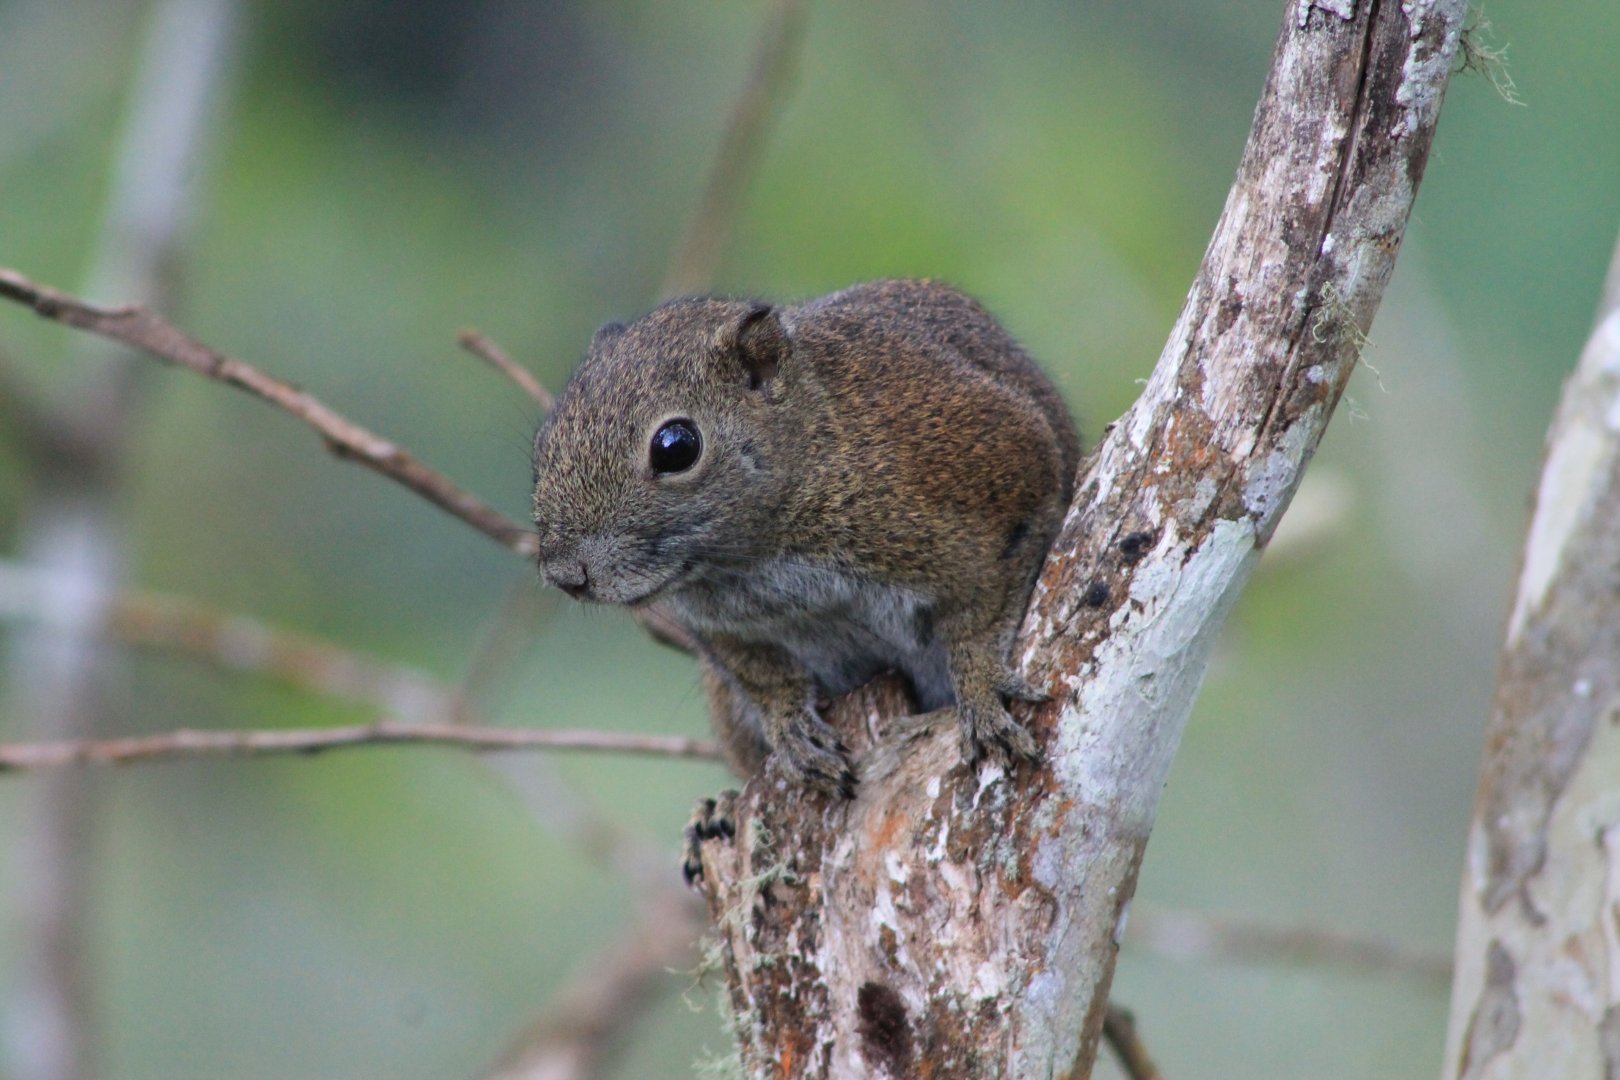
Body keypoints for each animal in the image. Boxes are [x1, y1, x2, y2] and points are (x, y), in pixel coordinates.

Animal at [531, 279, 1080, 797]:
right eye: (543, 440)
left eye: (676, 447)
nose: (565, 574)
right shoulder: (724, 632)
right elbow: (765, 678)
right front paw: (791, 728)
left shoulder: (999, 479)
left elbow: (980, 616)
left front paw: (981, 686)